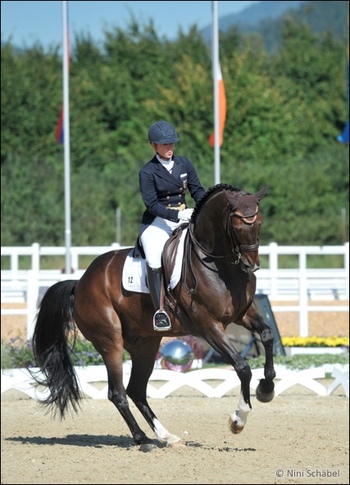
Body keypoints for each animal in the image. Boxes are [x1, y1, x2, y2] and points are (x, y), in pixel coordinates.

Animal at [30, 183, 276, 452]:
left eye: (259, 222)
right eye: (238, 225)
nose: (252, 266)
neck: (219, 265)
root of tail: (81, 282)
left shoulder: (243, 313)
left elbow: (267, 335)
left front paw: (267, 389)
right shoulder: (209, 326)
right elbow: (242, 367)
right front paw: (238, 420)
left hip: (145, 345)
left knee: (136, 390)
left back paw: (166, 436)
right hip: (110, 342)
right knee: (117, 392)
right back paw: (143, 439)